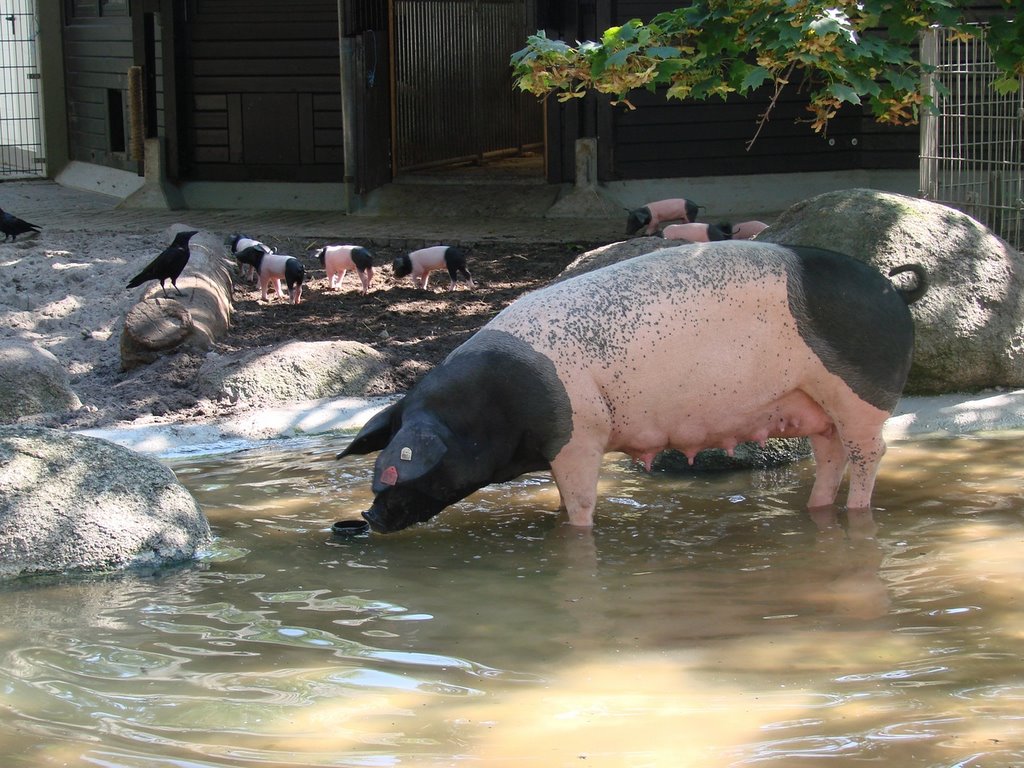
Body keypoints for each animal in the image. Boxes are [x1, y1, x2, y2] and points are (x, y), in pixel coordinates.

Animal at [342, 243, 929, 532]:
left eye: (395, 469)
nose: (368, 517)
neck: (490, 409)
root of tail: (893, 289)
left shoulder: (582, 435)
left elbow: (580, 506)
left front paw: (574, 531)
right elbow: (563, 498)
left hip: (860, 394)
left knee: (870, 452)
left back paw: (856, 514)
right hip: (816, 405)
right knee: (831, 454)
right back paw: (817, 511)